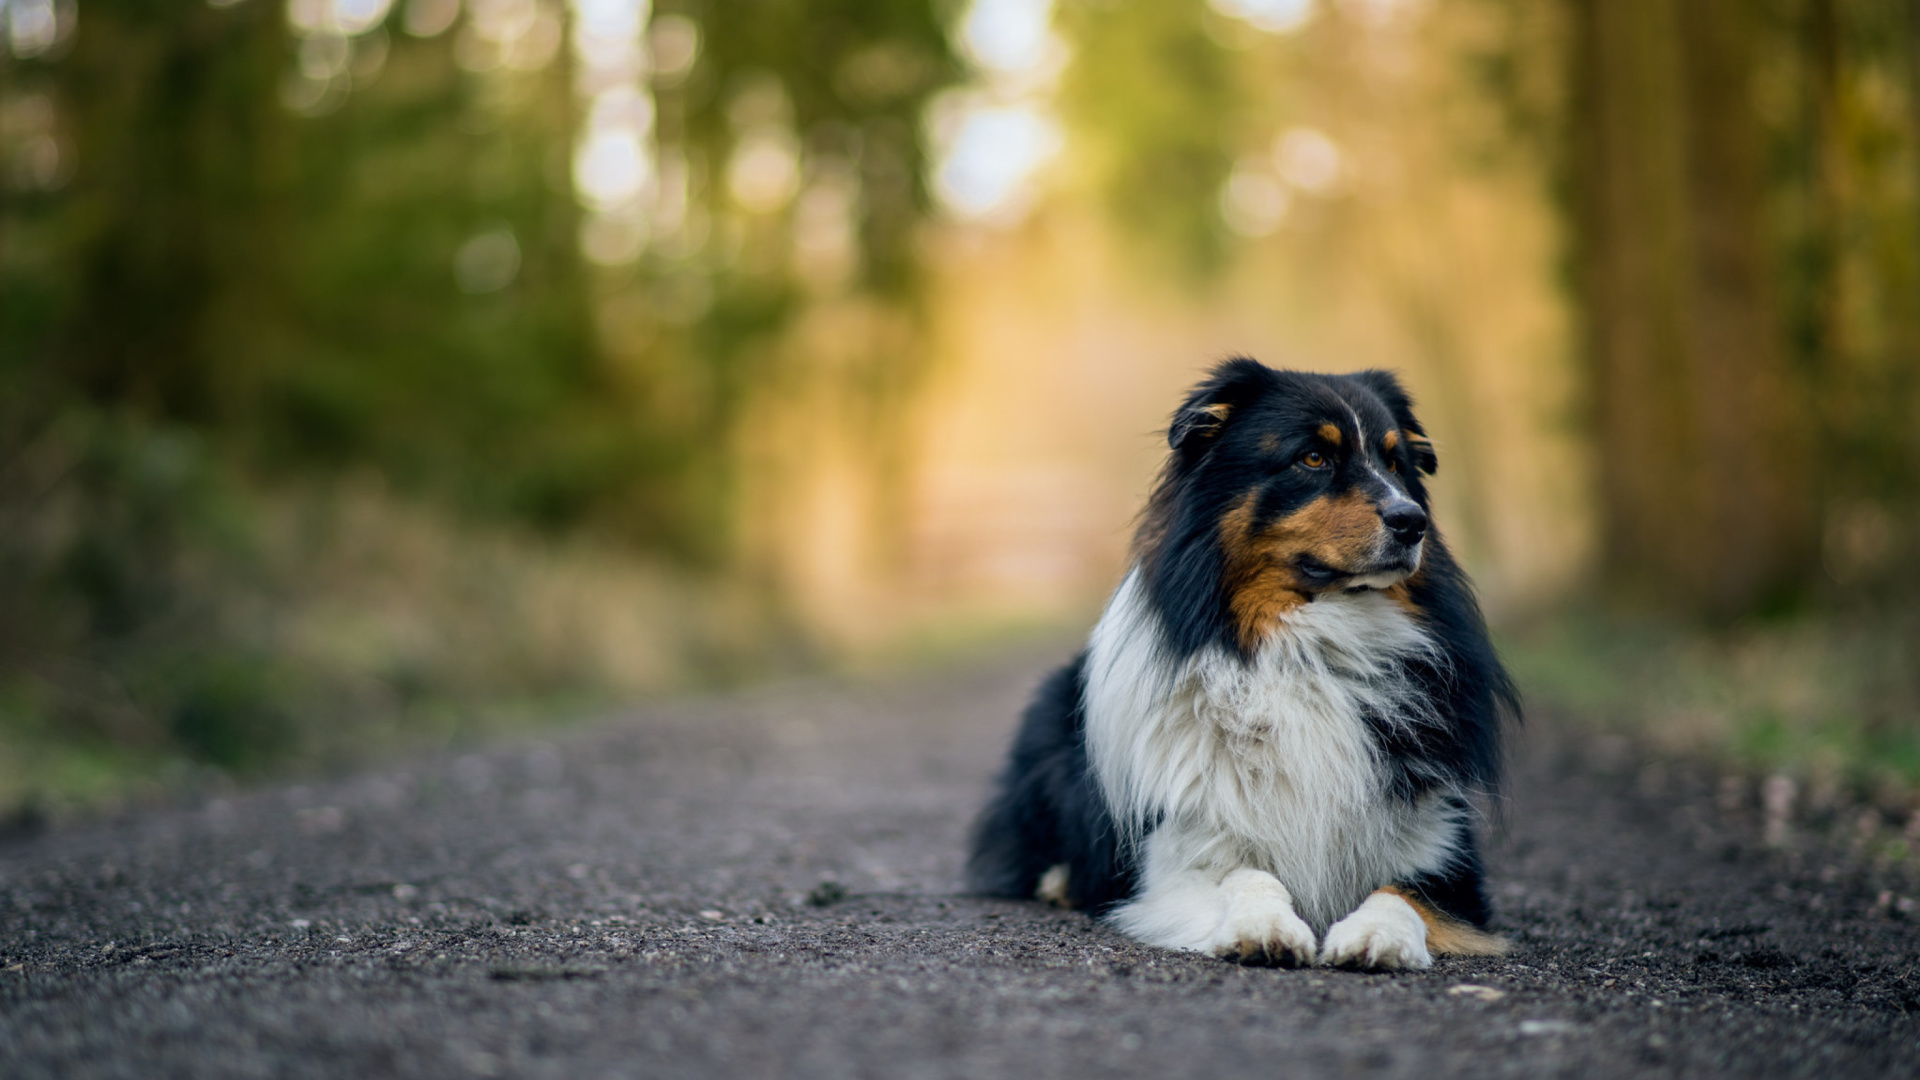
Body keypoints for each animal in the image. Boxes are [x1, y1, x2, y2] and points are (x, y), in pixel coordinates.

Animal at [967, 357, 1520, 972]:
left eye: (1396, 463)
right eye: (1313, 457)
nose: (1412, 520)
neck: (1306, 647)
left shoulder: (1444, 852)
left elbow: (1398, 893)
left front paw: (1377, 936)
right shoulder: (1177, 853)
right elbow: (1247, 874)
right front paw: (1265, 927)